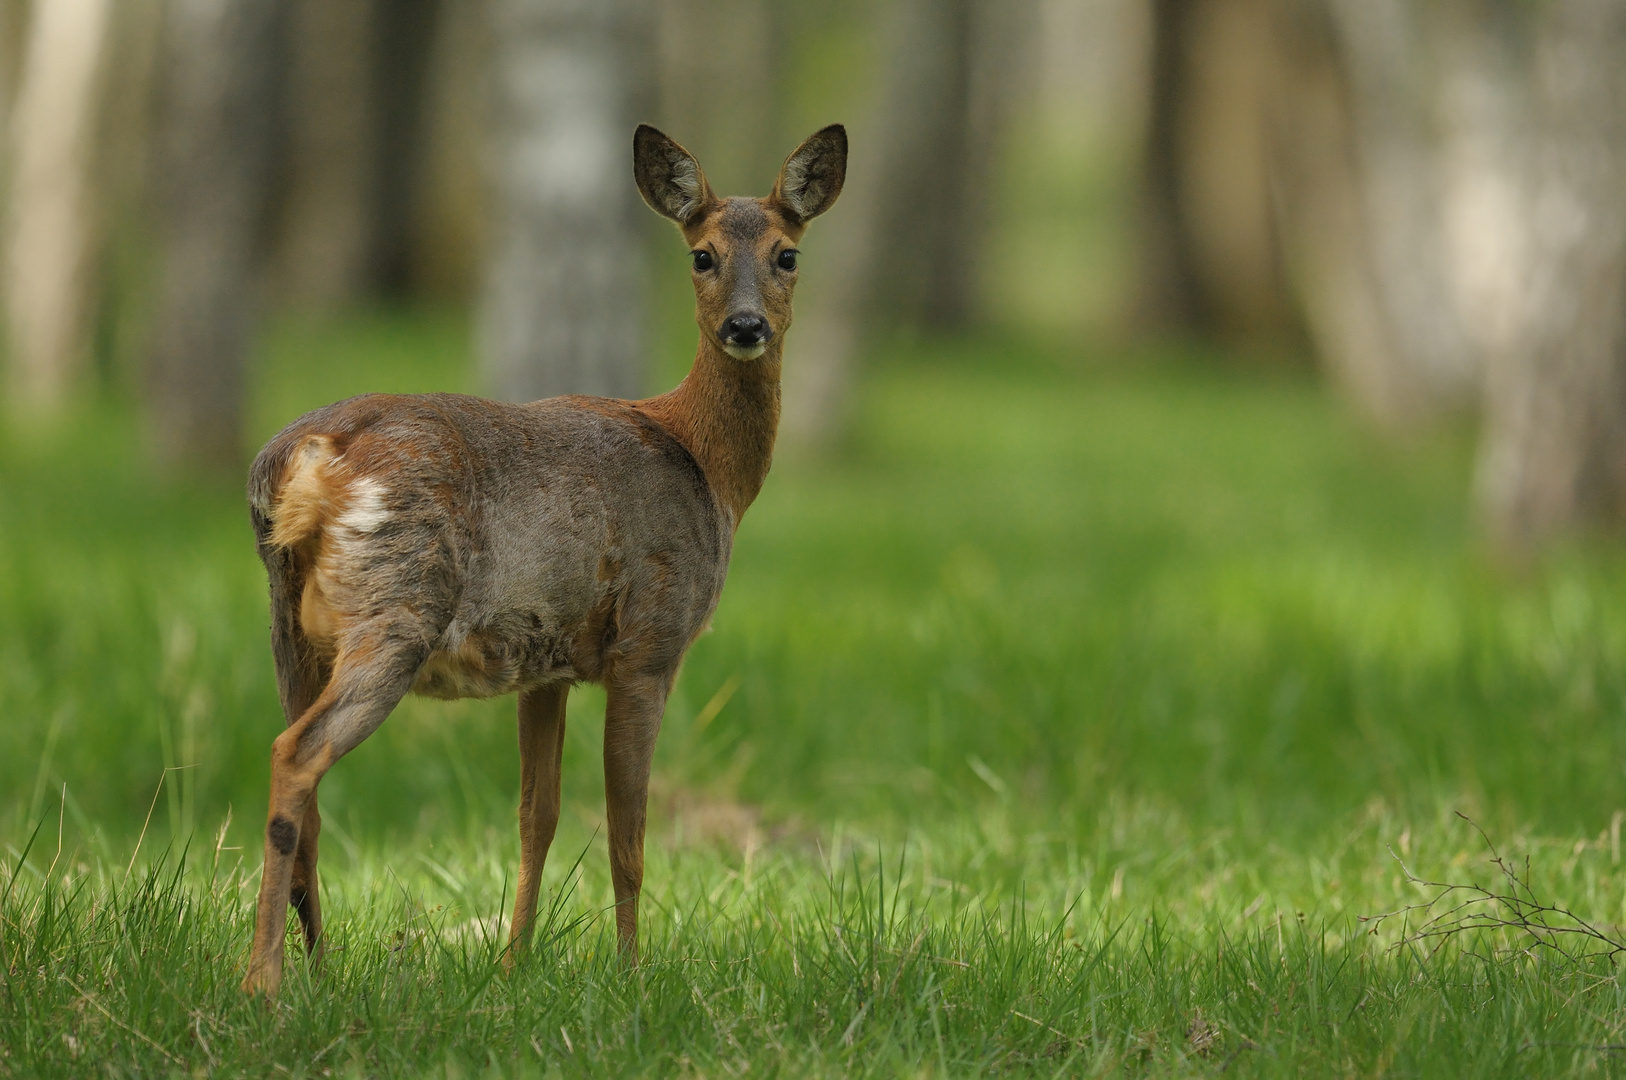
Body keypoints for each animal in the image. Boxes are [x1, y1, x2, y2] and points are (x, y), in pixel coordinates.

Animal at [242, 121, 852, 988]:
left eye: (786, 253)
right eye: (700, 254)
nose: (745, 328)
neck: (705, 462)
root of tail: (306, 460)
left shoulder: (547, 662)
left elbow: (539, 814)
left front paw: (513, 962)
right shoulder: (650, 640)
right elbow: (628, 831)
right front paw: (632, 972)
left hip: (289, 626)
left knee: (304, 787)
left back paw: (320, 967)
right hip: (398, 607)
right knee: (297, 755)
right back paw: (264, 980)